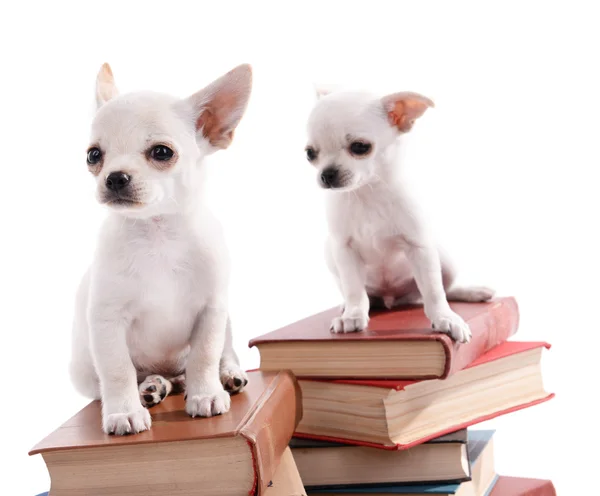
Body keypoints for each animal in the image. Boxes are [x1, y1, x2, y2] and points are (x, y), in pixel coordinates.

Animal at [69, 62, 252, 434]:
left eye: (162, 153)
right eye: (94, 156)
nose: (115, 177)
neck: (157, 234)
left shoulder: (211, 311)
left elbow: (204, 355)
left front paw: (206, 393)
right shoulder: (106, 321)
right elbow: (117, 370)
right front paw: (124, 411)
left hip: (226, 320)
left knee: (223, 353)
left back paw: (227, 376)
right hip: (81, 370)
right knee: (134, 377)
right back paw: (153, 386)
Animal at [308, 89, 494, 342]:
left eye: (360, 147)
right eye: (310, 154)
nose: (326, 174)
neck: (367, 192)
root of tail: (392, 299)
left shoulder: (419, 247)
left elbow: (434, 290)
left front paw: (445, 318)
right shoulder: (344, 250)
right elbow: (354, 289)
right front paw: (353, 315)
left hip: (445, 260)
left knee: (443, 289)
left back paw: (471, 292)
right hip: (331, 256)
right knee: (360, 293)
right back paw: (349, 307)